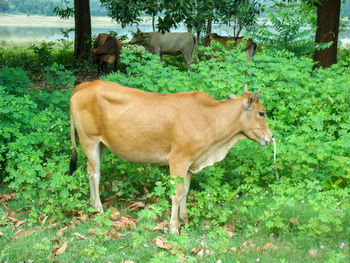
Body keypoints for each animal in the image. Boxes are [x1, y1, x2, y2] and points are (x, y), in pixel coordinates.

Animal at [69, 80, 274, 235]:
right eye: (261, 113)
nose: (270, 137)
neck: (209, 118)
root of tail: (85, 84)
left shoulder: (190, 162)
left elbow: (186, 190)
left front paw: (184, 217)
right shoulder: (178, 159)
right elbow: (177, 193)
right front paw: (174, 227)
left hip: (101, 144)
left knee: (89, 172)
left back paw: (92, 204)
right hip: (89, 140)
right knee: (95, 174)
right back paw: (99, 209)